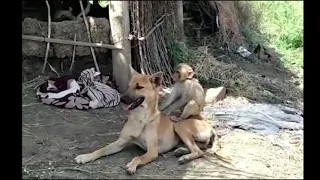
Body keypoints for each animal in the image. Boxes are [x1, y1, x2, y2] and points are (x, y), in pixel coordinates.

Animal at [74, 70, 228, 174]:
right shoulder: (120, 143)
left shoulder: (152, 151)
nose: (122, 99)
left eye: (139, 87)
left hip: (179, 126)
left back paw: (184, 157)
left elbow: (137, 157)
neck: (140, 118)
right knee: (199, 147)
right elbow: (101, 150)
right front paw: (85, 157)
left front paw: (132, 165)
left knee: (199, 151)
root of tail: (210, 126)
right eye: (129, 86)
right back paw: (181, 151)